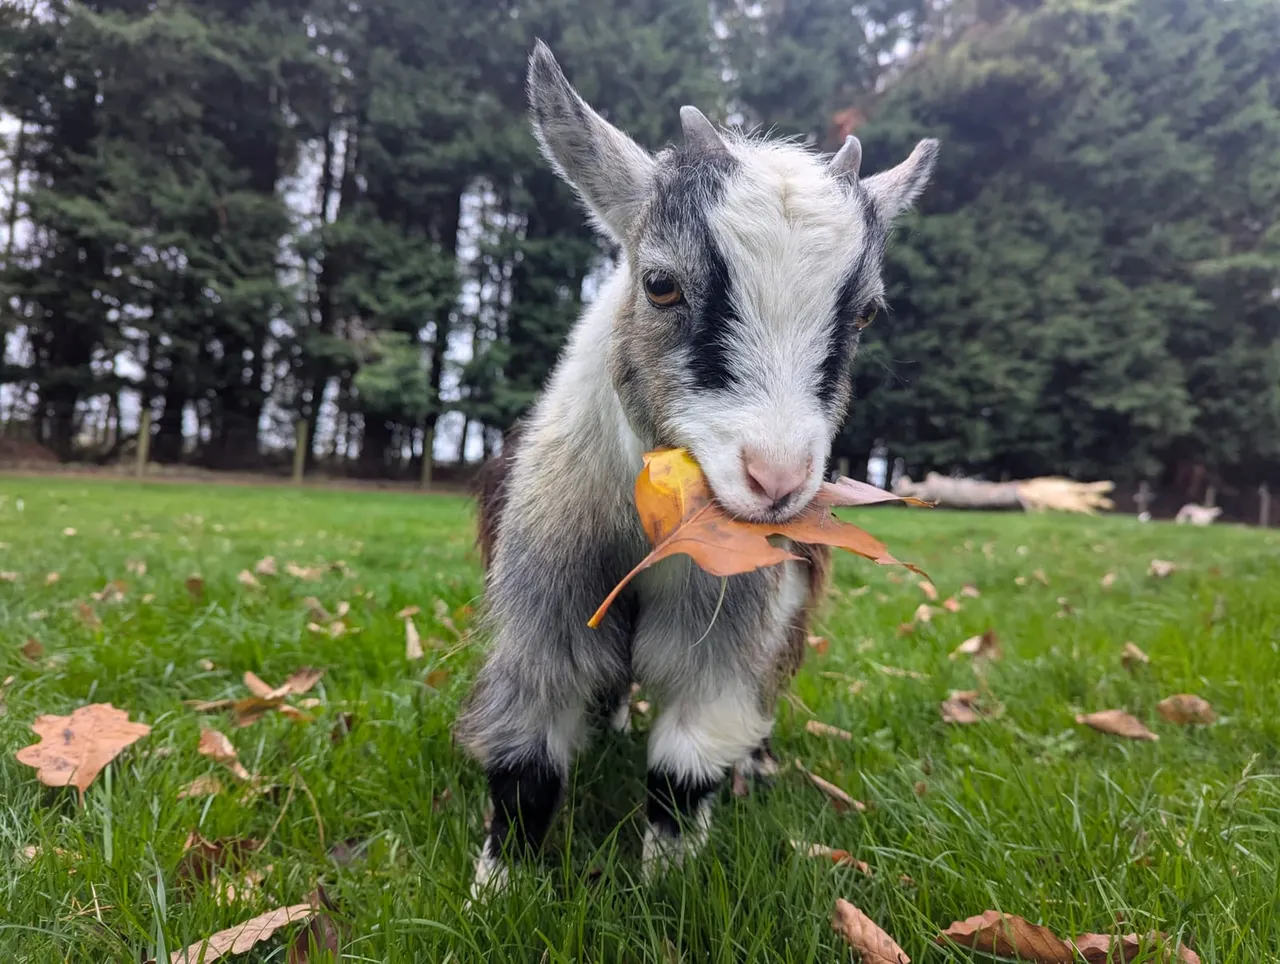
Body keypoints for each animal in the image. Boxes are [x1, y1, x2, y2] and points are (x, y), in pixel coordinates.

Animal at [456, 40, 938, 898]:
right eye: (660, 284)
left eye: (863, 313)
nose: (776, 480)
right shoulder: (544, 603)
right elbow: (526, 764)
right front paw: (493, 894)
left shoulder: (725, 624)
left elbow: (685, 769)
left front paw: (664, 892)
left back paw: (758, 765)